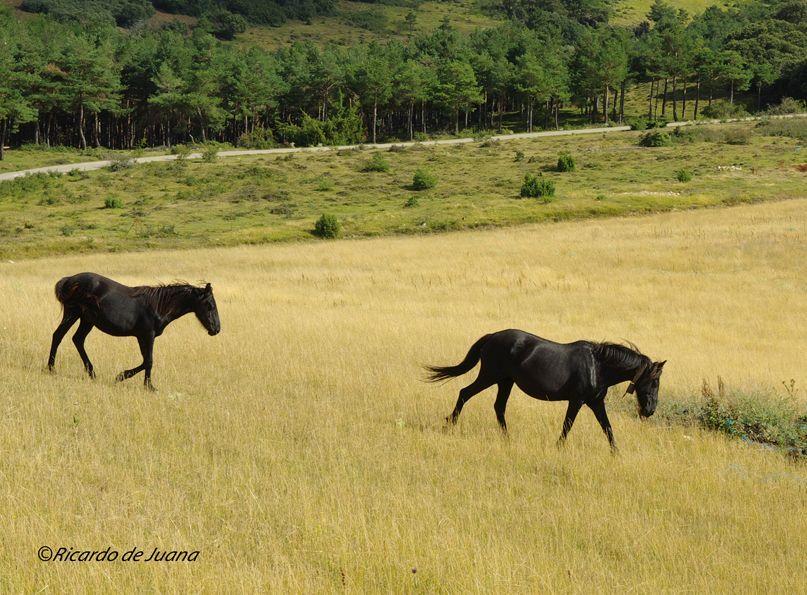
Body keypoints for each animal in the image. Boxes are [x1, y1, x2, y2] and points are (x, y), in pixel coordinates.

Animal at [47, 272, 221, 391]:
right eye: (209, 305)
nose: (216, 329)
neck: (159, 305)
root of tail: (69, 279)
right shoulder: (147, 335)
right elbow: (149, 361)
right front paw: (144, 384)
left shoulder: (142, 336)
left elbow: (145, 361)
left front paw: (126, 378)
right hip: (73, 313)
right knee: (58, 336)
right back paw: (51, 369)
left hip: (86, 320)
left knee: (77, 339)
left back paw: (91, 373)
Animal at [425, 329, 665, 451]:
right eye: (654, 382)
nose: (650, 410)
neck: (598, 366)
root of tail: (492, 336)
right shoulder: (577, 401)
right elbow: (567, 425)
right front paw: (558, 447)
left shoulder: (596, 402)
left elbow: (607, 428)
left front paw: (616, 453)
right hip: (490, 376)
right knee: (465, 393)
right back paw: (450, 424)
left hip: (505, 381)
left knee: (499, 407)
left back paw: (507, 438)